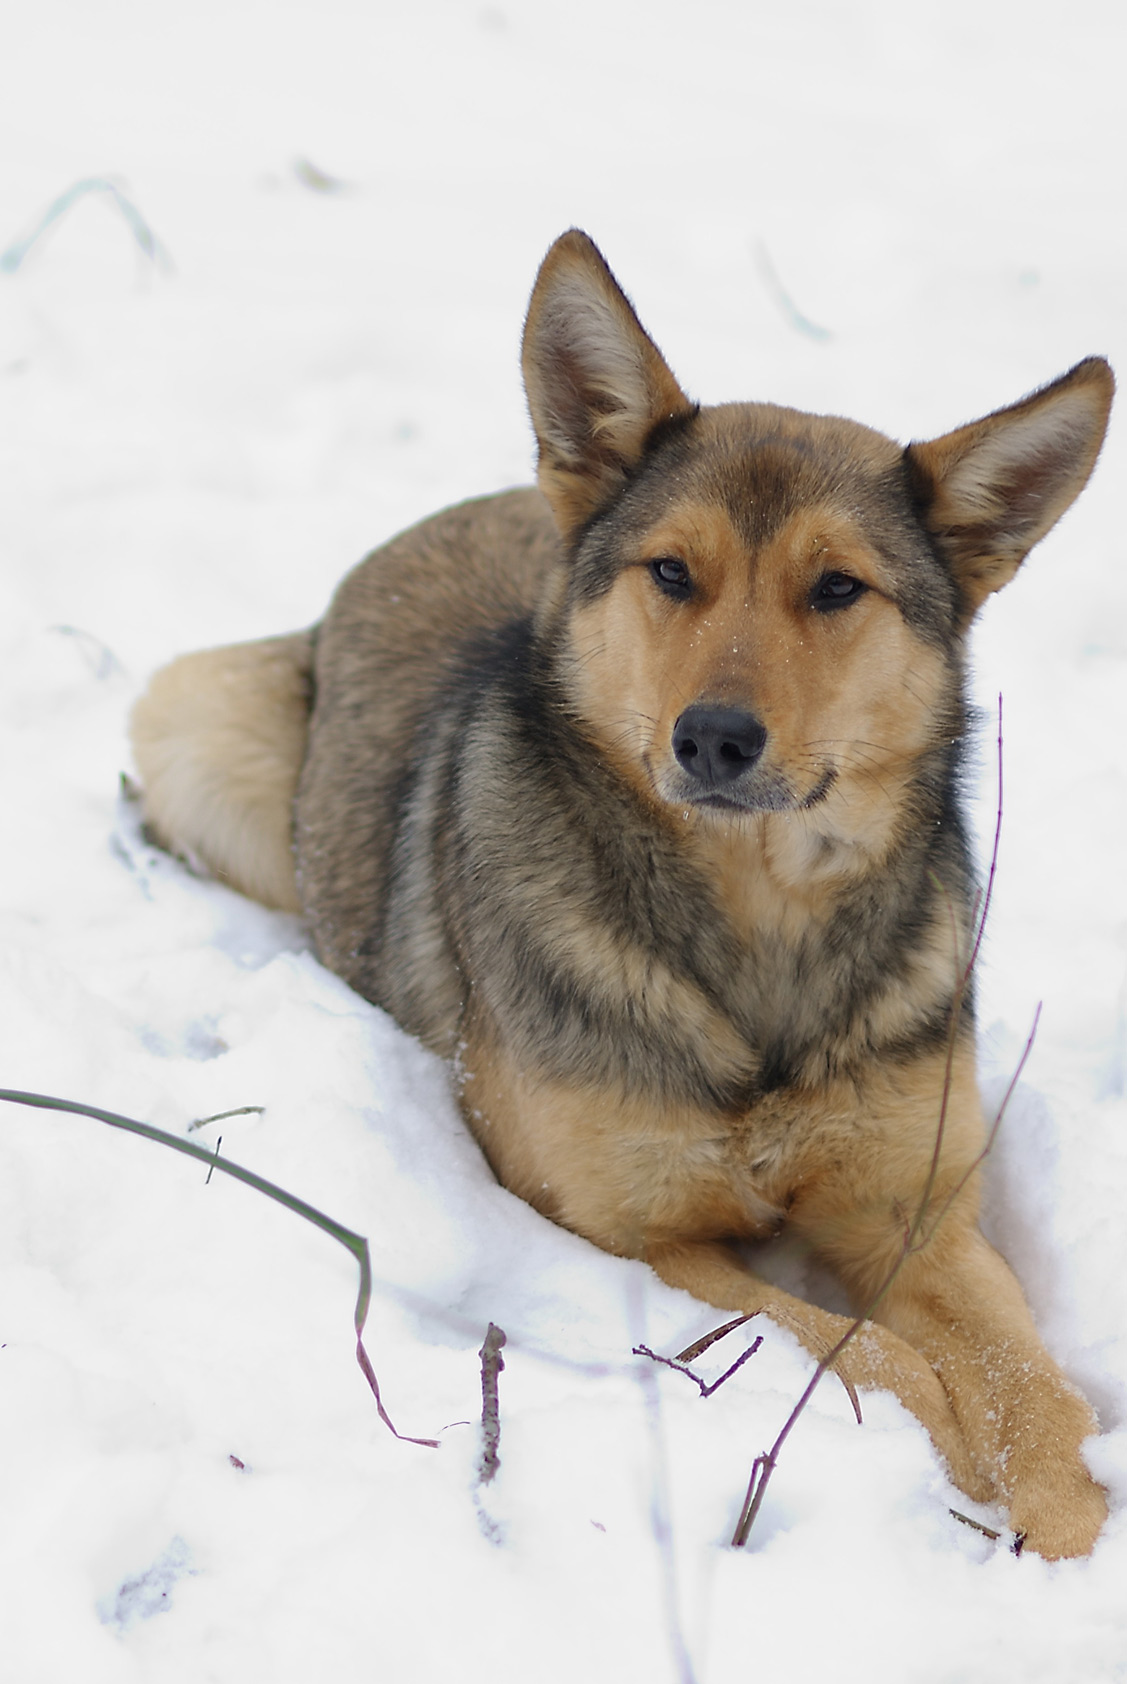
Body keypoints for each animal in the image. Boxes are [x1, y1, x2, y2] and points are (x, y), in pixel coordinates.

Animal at [132, 230, 1105, 1556]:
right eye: (671, 573)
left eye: (837, 589)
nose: (714, 738)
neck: (756, 927)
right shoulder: (631, 1236)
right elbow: (856, 1354)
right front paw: (942, 1460)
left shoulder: (911, 1208)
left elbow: (1028, 1383)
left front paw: (1063, 1534)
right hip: (189, 724)